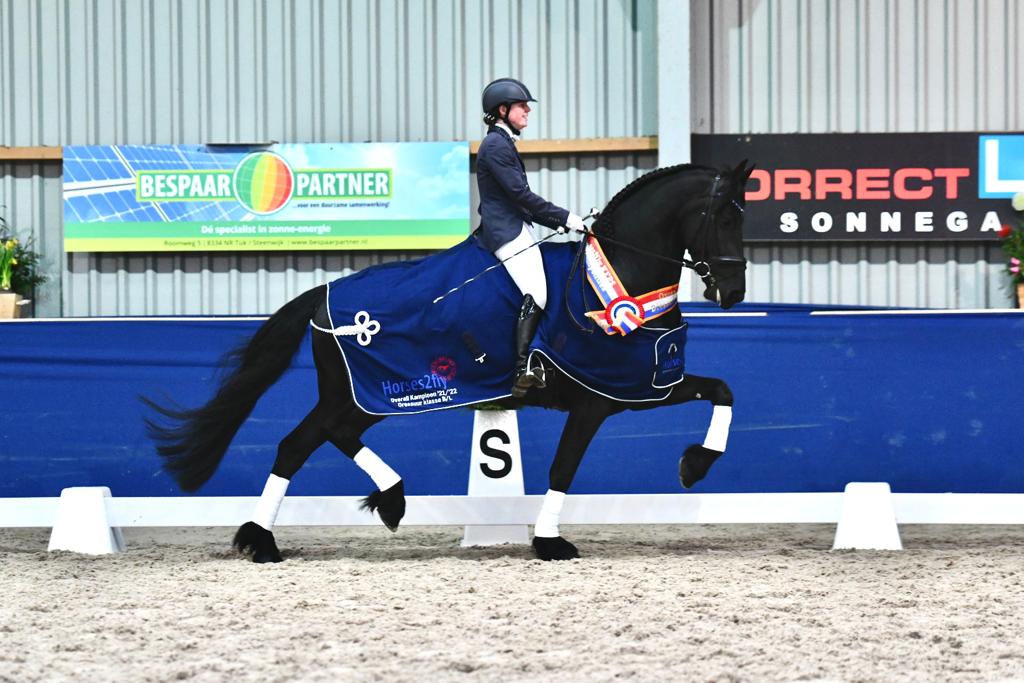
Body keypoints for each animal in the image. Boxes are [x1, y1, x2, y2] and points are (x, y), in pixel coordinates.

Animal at [146, 160, 753, 561]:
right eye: (723, 218)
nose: (734, 293)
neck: (614, 279)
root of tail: (322, 295)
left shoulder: (644, 385)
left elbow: (723, 389)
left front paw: (695, 465)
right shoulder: (597, 399)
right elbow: (564, 468)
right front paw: (550, 542)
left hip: (360, 397)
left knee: (316, 439)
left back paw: (346, 514)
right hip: (364, 391)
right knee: (304, 442)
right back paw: (279, 535)